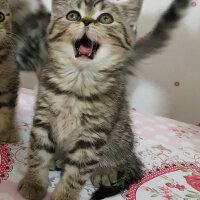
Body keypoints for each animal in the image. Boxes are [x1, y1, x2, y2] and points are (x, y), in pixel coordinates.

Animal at [18, 0, 190, 200]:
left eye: (105, 18)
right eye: (72, 15)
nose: (86, 21)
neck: (78, 83)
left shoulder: (93, 135)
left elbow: (77, 173)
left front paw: (63, 195)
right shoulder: (43, 118)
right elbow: (37, 153)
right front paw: (34, 183)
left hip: (121, 132)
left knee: (120, 153)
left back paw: (105, 169)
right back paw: (58, 158)